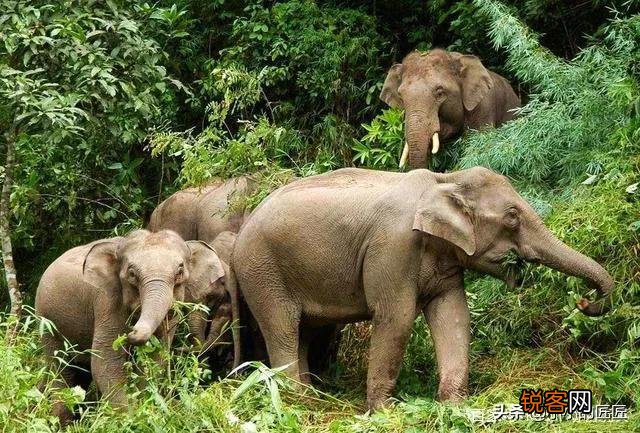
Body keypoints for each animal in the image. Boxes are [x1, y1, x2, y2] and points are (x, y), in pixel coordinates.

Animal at [35, 229, 232, 424]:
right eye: (132, 274)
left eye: (180, 270)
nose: (132, 332)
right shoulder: (107, 301)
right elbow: (105, 360)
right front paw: (132, 418)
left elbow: (155, 358)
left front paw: (146, 411)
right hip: (47, 322)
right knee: (61, 369)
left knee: (79, 372)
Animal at [231, 167, 613, 410]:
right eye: (512, 217)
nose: (584, 301)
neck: (446, 180)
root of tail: (239, 234)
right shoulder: (393, 247)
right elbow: (396, 318)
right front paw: (385, 411)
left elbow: (454, 315)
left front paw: (454, 405)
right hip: (263, 271)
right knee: (282, 329)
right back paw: (295, 402)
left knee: (304, 333)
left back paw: (311, 398)